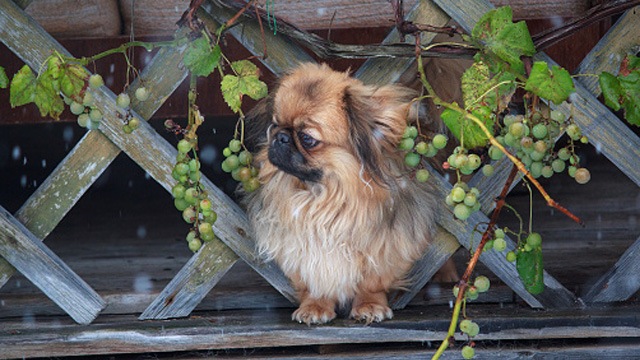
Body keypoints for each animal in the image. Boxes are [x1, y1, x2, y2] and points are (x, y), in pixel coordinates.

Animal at [242, 62, 438, 324]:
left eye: (307, 138)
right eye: (274, 125)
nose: (280, 137)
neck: (320, 197)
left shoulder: (388, 249)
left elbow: (372, 283)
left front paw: (370, 306)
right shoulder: (301, 252)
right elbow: (316, 282)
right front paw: (315, 307)